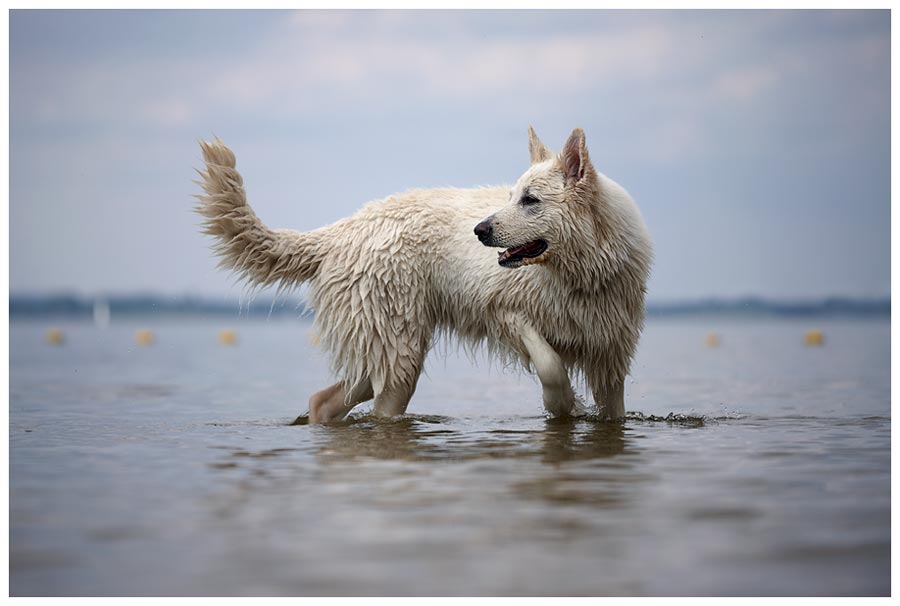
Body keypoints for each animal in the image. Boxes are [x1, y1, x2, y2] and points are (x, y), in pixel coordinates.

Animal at [193, 128, 652, 422]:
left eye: (530, 200)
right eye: (511, 197)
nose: (480, 230)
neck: (579, 272)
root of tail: (341, 229)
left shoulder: (611, 354)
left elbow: (612, 408)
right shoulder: (504, 311)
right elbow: (551, 365)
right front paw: (563, 406)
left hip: (385, 347)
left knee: (327, 398)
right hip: (397, 347)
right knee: (379, 407)